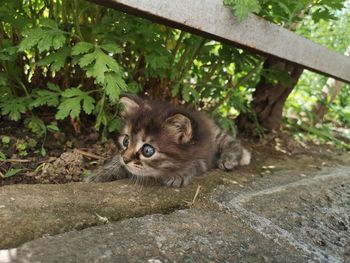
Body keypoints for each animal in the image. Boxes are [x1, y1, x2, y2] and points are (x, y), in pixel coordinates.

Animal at [86, 95, 250, 188]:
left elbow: (195, 165)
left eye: (148, 151)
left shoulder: (204, 156)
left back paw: (232, 158)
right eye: (126, 141)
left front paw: (178, 175)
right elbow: (116, 160)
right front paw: (102, 173)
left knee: (232, 141)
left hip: (217, 135)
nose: (125, 159)